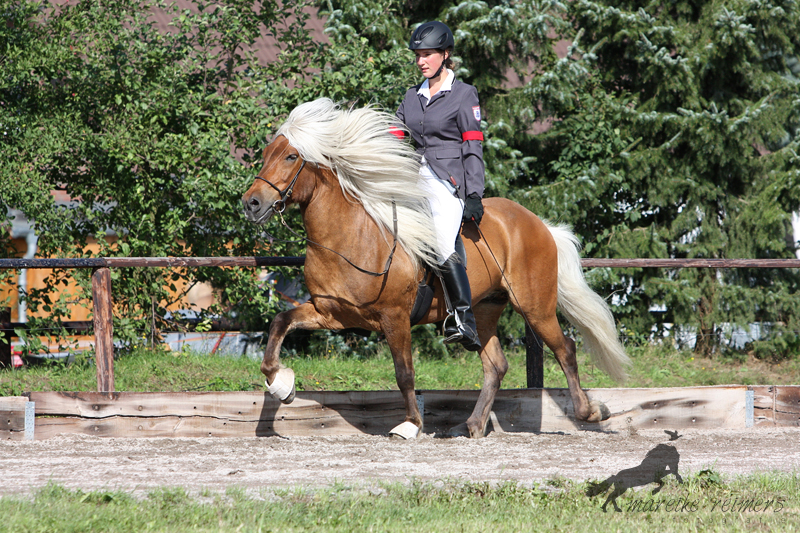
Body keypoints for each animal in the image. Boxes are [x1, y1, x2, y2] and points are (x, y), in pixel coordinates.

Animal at [241, 97, 628, 438]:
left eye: (291, 156)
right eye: (266, 154)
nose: (251, 203)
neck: (350, 237)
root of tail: (539, 224)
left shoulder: (395, 317)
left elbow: (404, 373)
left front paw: (411, 425)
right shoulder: (330, 313)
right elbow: (280, 323)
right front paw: (281, 384)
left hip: (535, 307)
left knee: (565, 350)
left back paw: (590, 412)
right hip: (484, 310)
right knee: (496, 365)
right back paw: (472, 425)